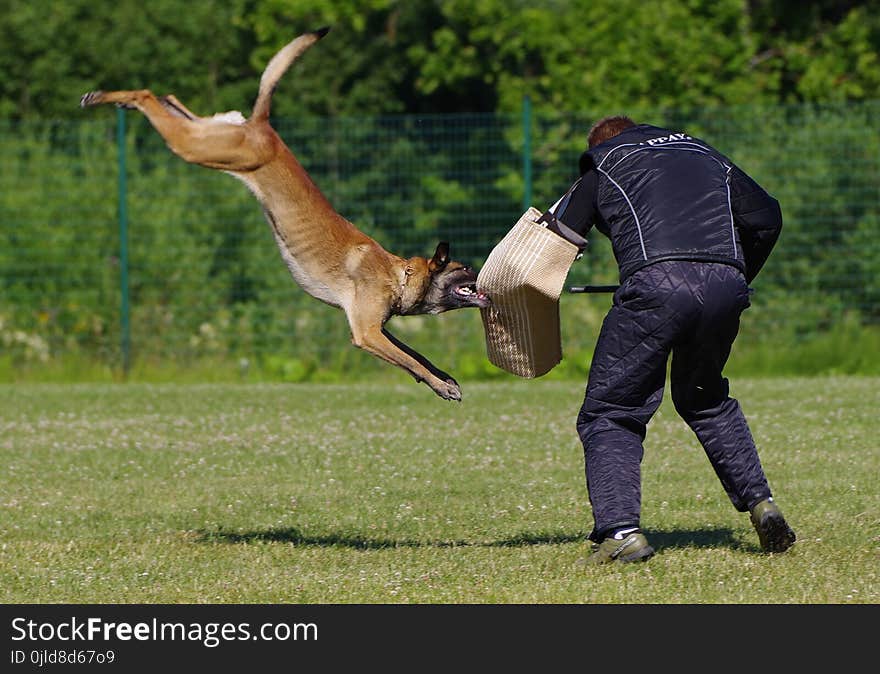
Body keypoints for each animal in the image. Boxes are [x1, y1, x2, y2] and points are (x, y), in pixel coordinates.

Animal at [81, 27, 488, 400]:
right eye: (466, 268)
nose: (486, 278)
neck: (399, 274)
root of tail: (263, 126)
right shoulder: (367, 332)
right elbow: (410, 360)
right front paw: (441, 385)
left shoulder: (375, 327)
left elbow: (416, 354)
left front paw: (444, 377)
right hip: (200, 148)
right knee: (149, 95)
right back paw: (103, 97)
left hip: (211, 134)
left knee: (170, 98)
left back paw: (117, 100)